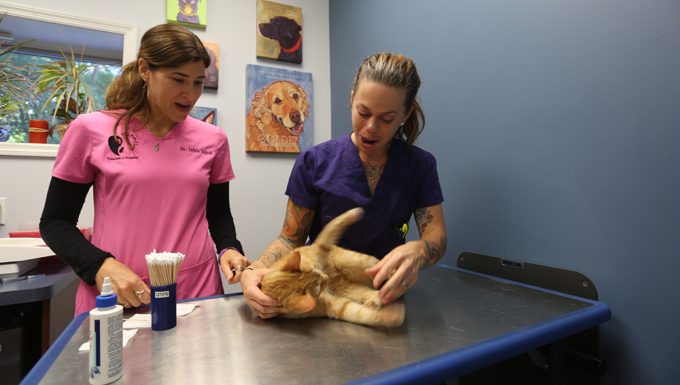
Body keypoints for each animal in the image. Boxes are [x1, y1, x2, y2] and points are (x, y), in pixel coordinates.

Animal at [260, 208, 404, 326]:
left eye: (316, 269)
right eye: (319, 286)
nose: (326, 277)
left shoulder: (320, 246)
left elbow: (333, 224)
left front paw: (353, 213)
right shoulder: (335, 307)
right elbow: (363, 314)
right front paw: (392, 316)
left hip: (352, 261)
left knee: (381, 266)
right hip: (348, 288)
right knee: (370, 291)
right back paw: (376, 299)